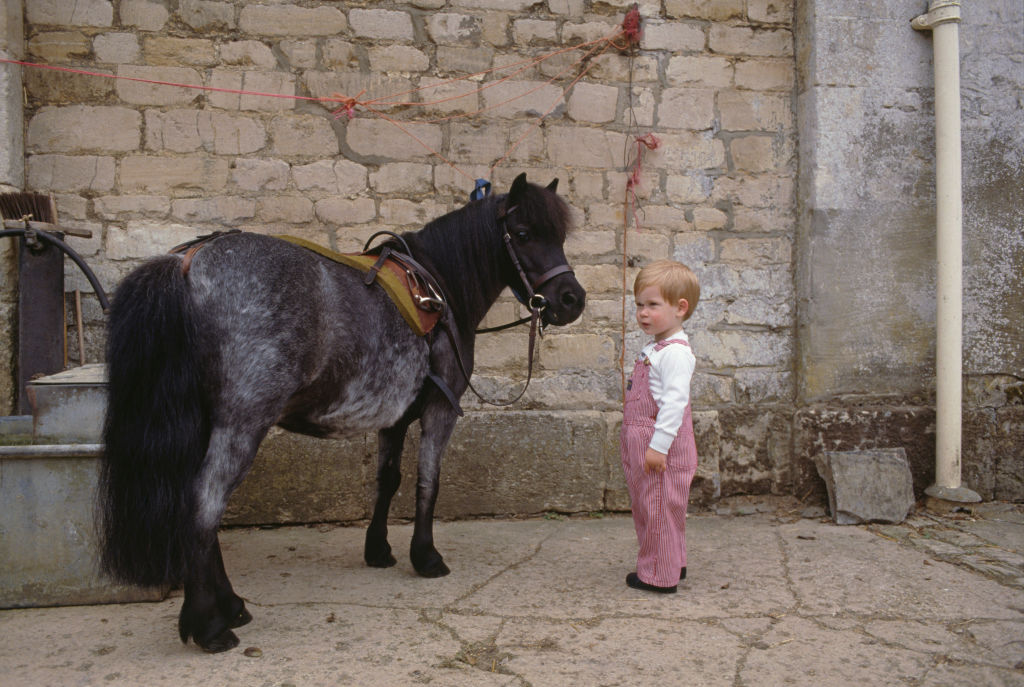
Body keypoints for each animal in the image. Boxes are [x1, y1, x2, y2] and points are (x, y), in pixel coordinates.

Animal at [101, 175, 593, 651]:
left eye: (560, 235)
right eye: (524, 233)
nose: (572, 299)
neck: (439, 287)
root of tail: (188, 264)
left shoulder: (395, 418)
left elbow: (388, 481)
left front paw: (379, 550)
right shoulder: (440, 409)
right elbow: (428, 481)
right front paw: (426, 556)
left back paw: (232, 605)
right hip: (240, 425)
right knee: (204, 507)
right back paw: (209, 625)